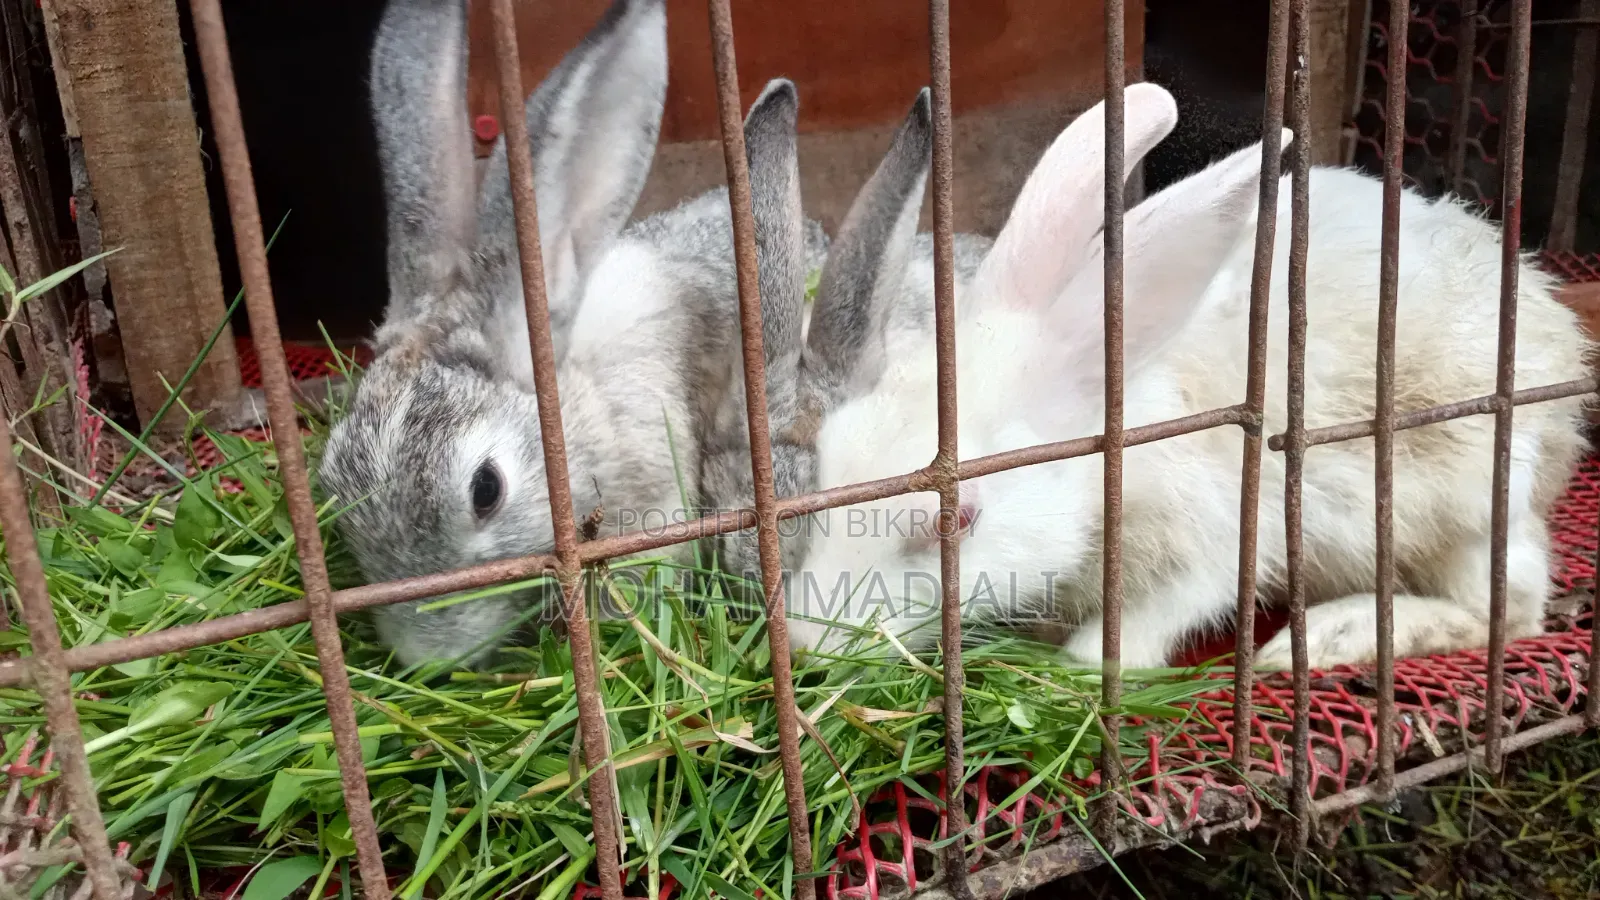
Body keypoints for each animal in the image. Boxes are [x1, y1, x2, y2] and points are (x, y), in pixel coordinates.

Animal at [784, 81, 1592, 673]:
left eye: (955, 521)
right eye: (828, 470)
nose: (803, 644)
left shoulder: (1208, 546)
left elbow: (1141, 628)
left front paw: (1077, 671)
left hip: (1470, 509)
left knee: (1510, 607)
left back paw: (1326, 641)